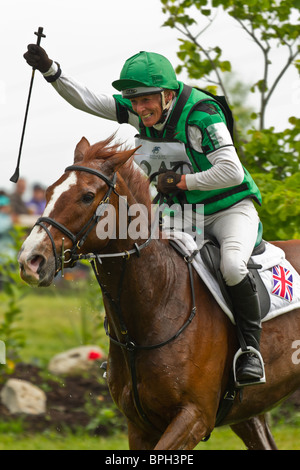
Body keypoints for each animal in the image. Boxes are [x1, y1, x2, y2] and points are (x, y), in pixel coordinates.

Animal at [17, 135, 300, 448]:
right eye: (49, 192)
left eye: (87, 196)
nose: (31, 260)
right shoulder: (139, 426)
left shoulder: (194, 417)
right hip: (248, 415)